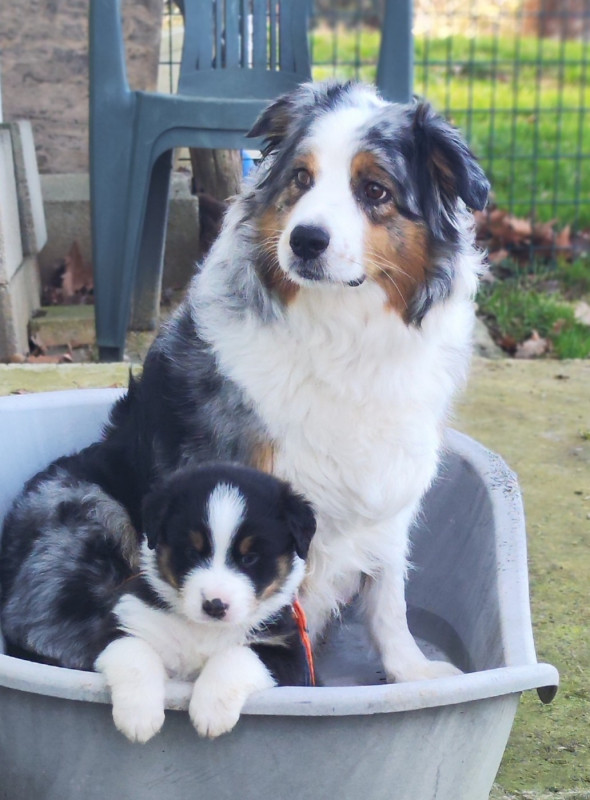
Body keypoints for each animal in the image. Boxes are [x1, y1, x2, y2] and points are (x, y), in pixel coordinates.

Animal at [0, 463, 316, 741]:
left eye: (250, 558)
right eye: (191, 552)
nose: (214, 605)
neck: (201, 630)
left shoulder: (287, 653)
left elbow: (237, 657)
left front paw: (210, 713)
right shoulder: (121, 624)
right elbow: (136, 655)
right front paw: (138, 718)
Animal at [1, 80, 489, 688]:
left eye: (374, 189)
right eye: (301, 178)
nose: (305, 241)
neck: (341, 330)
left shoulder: (389, 488)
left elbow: (389, 597)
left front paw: (412, 672)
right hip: (85, 506)